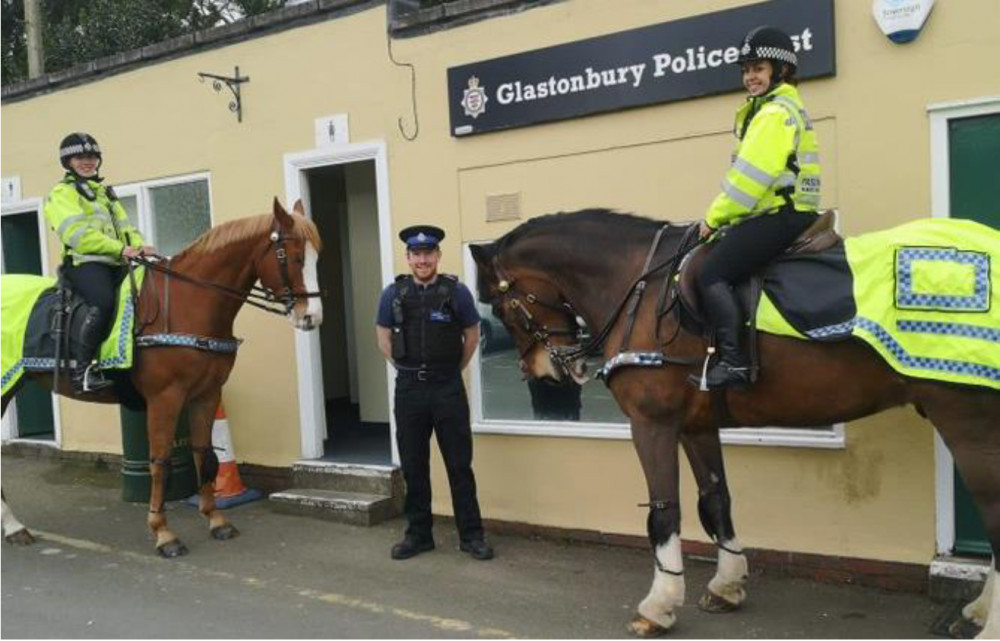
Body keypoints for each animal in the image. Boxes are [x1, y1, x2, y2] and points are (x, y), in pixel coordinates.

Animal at [0, 198, 320, 556]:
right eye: (291, 256)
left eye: (316, 255)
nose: (311, 317)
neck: (188, 304)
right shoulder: (165, 398)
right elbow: (160, 463)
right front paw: (163, 533)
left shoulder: (207, 394)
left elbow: (205, 456)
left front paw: (215, 519)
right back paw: (13, 526)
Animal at [468, 209, 1000, 636]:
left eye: (501, 304)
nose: (543, 370)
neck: (643, 286)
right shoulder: (696, 425)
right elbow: (716, 501)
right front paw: (727, 584)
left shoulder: (652, 423)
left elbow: (664, 513)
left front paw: (659, 605)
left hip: (970, 423)